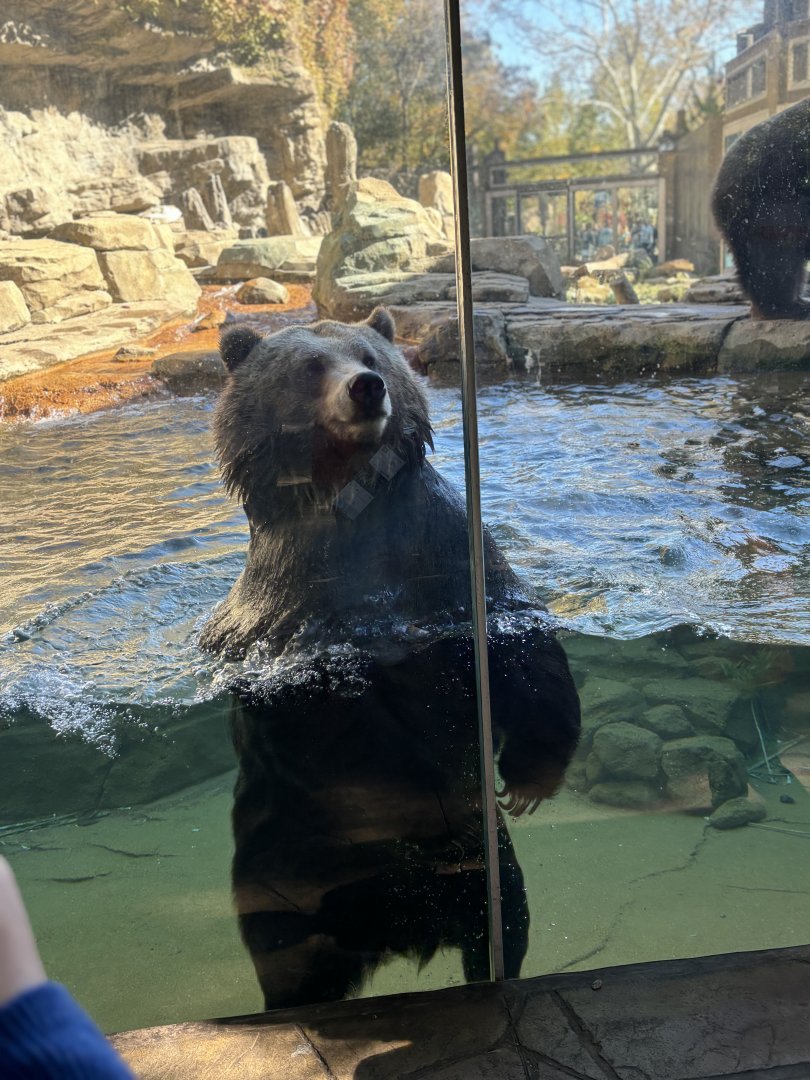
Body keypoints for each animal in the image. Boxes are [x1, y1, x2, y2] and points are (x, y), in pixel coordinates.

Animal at [200, 307, 581, 1010]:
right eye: (310, 365)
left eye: (370, 354)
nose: (366, 387)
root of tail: (398, 932)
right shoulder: (278, 612)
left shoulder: (445, 555)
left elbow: (520, 645)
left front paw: (528, 780)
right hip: (276, 856)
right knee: (281, 944)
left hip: (473, 852)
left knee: (502, 915)